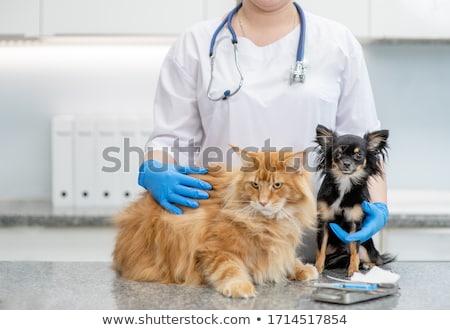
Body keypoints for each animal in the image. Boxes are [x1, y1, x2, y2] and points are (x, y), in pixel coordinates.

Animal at [112, 150, 316, 300]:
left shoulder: (281, 245)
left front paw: (302, 268)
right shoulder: (213, 250)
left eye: (277, 185)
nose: (263, 202)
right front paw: (240, 286)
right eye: (255, 185)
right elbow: (230, 269)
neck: (268, 223)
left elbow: (288, 259)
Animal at [312, 125, 394, 278]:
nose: (346, 163)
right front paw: (317, 268)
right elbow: (321, 249)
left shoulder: (355, 225)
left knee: (375, 260)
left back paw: (368, 265)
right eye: (337, 154)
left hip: (366, 248)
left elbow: (354, 252)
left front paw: (354, 271)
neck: (344, 182)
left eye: (358, 155)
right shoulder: (324, 223)